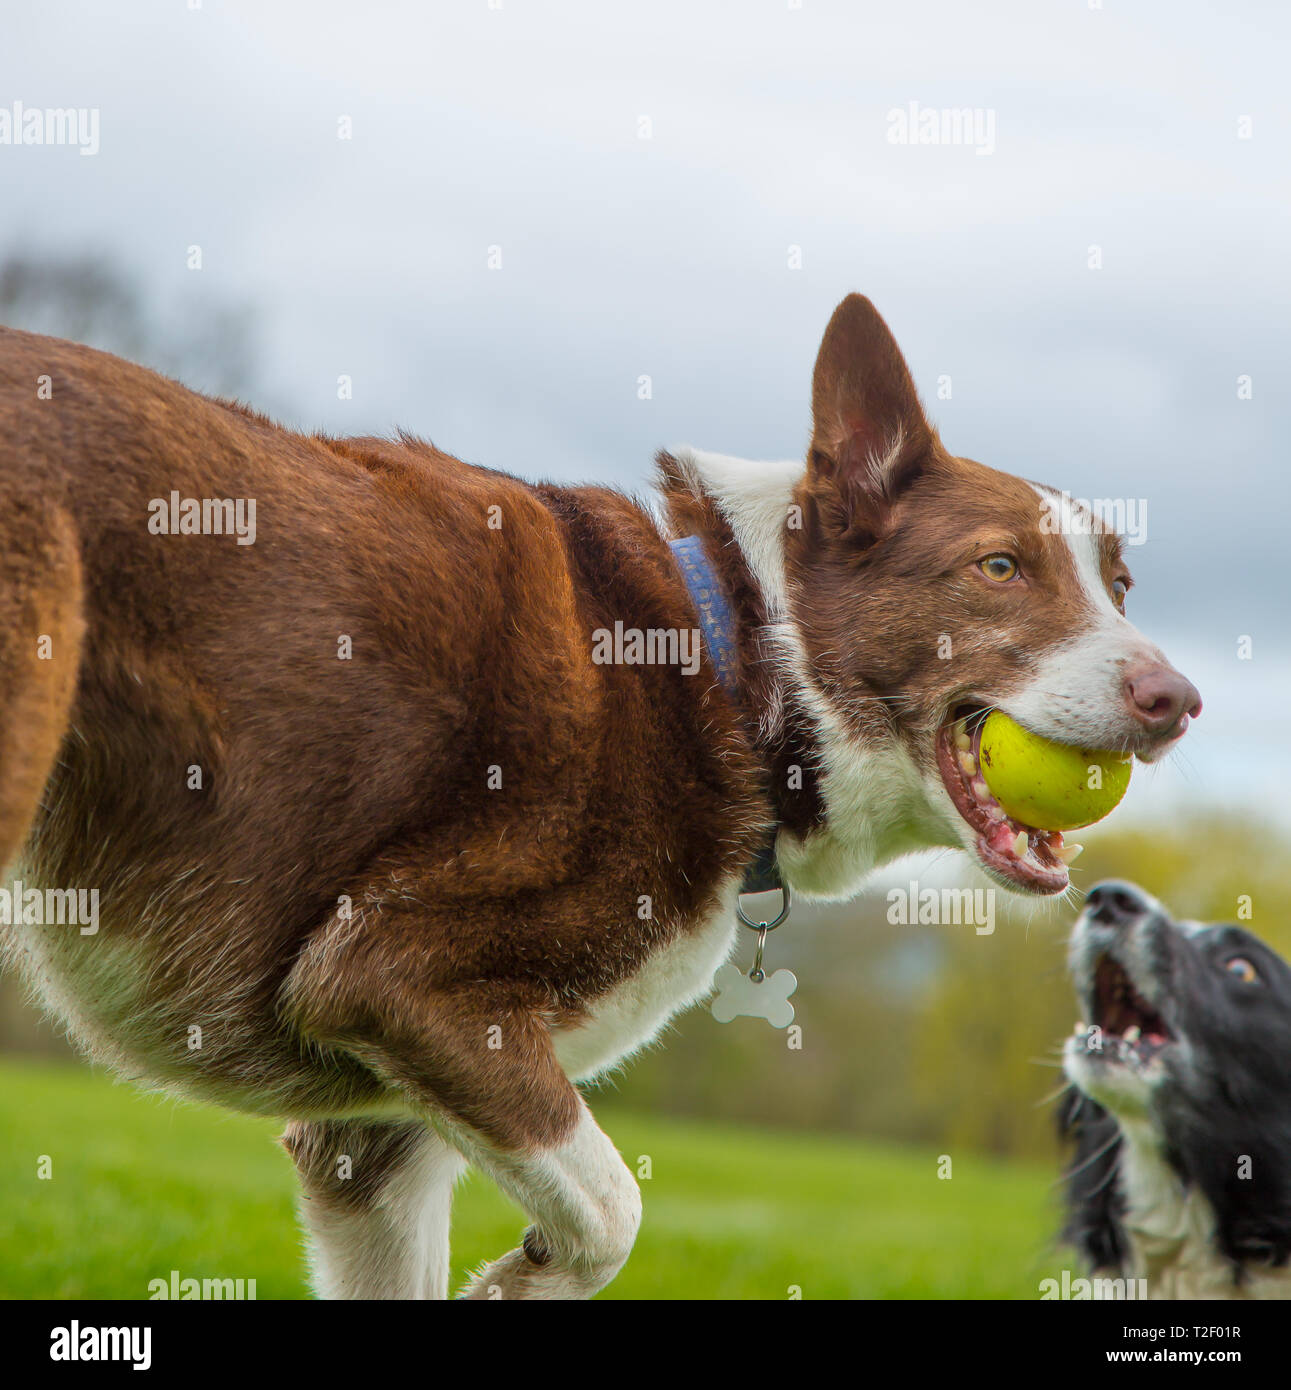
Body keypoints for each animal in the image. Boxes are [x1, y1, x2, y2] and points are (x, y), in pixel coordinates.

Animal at [0, 296, 1200, 1301]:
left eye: (1120, 587)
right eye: (998, 569)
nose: (1178, 700)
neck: (738, 662)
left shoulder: (372, 1144)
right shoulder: (393, 977)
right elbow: (616, 1212)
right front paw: (516, 1284)